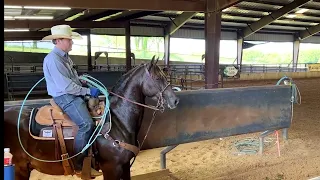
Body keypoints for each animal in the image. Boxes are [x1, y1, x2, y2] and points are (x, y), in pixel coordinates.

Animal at [3, 56, 180, 179]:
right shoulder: (111, 169)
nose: (175, 100)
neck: (117, 121)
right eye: (157, 78)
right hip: (19, 169)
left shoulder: (124, 167)